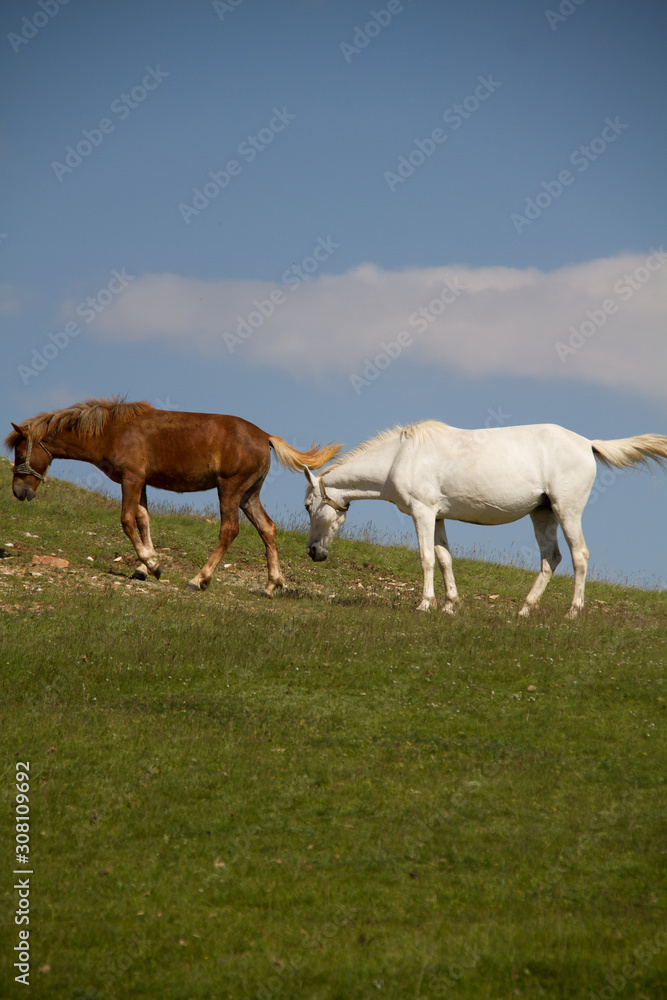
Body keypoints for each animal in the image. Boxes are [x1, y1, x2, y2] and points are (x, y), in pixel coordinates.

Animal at [5, 397, 341, 594]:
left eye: (20, 452)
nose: (19, 492)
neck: (114, 431)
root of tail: (265, 437)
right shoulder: (141, 483)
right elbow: (143, 519)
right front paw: (144, 566)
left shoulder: (131, 479)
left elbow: (127, 520)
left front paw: (152, 564)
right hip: (249, 495)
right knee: (267, 529)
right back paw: (271, 584)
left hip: (229, 490)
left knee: (229, 530)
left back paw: (199, 578)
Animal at [302, 419, 667, 618]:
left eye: (308, 506)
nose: (313, 552)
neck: (400, 457)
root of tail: (587, 443)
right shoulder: (437, 517)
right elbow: (444, 558)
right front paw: (450, 605)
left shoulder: (423, 513)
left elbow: (426, 559)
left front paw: (425, 604)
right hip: (543, 512)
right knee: (551, 558)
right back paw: (524, 609)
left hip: (567, 510)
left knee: (579, 556)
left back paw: (572, 612)